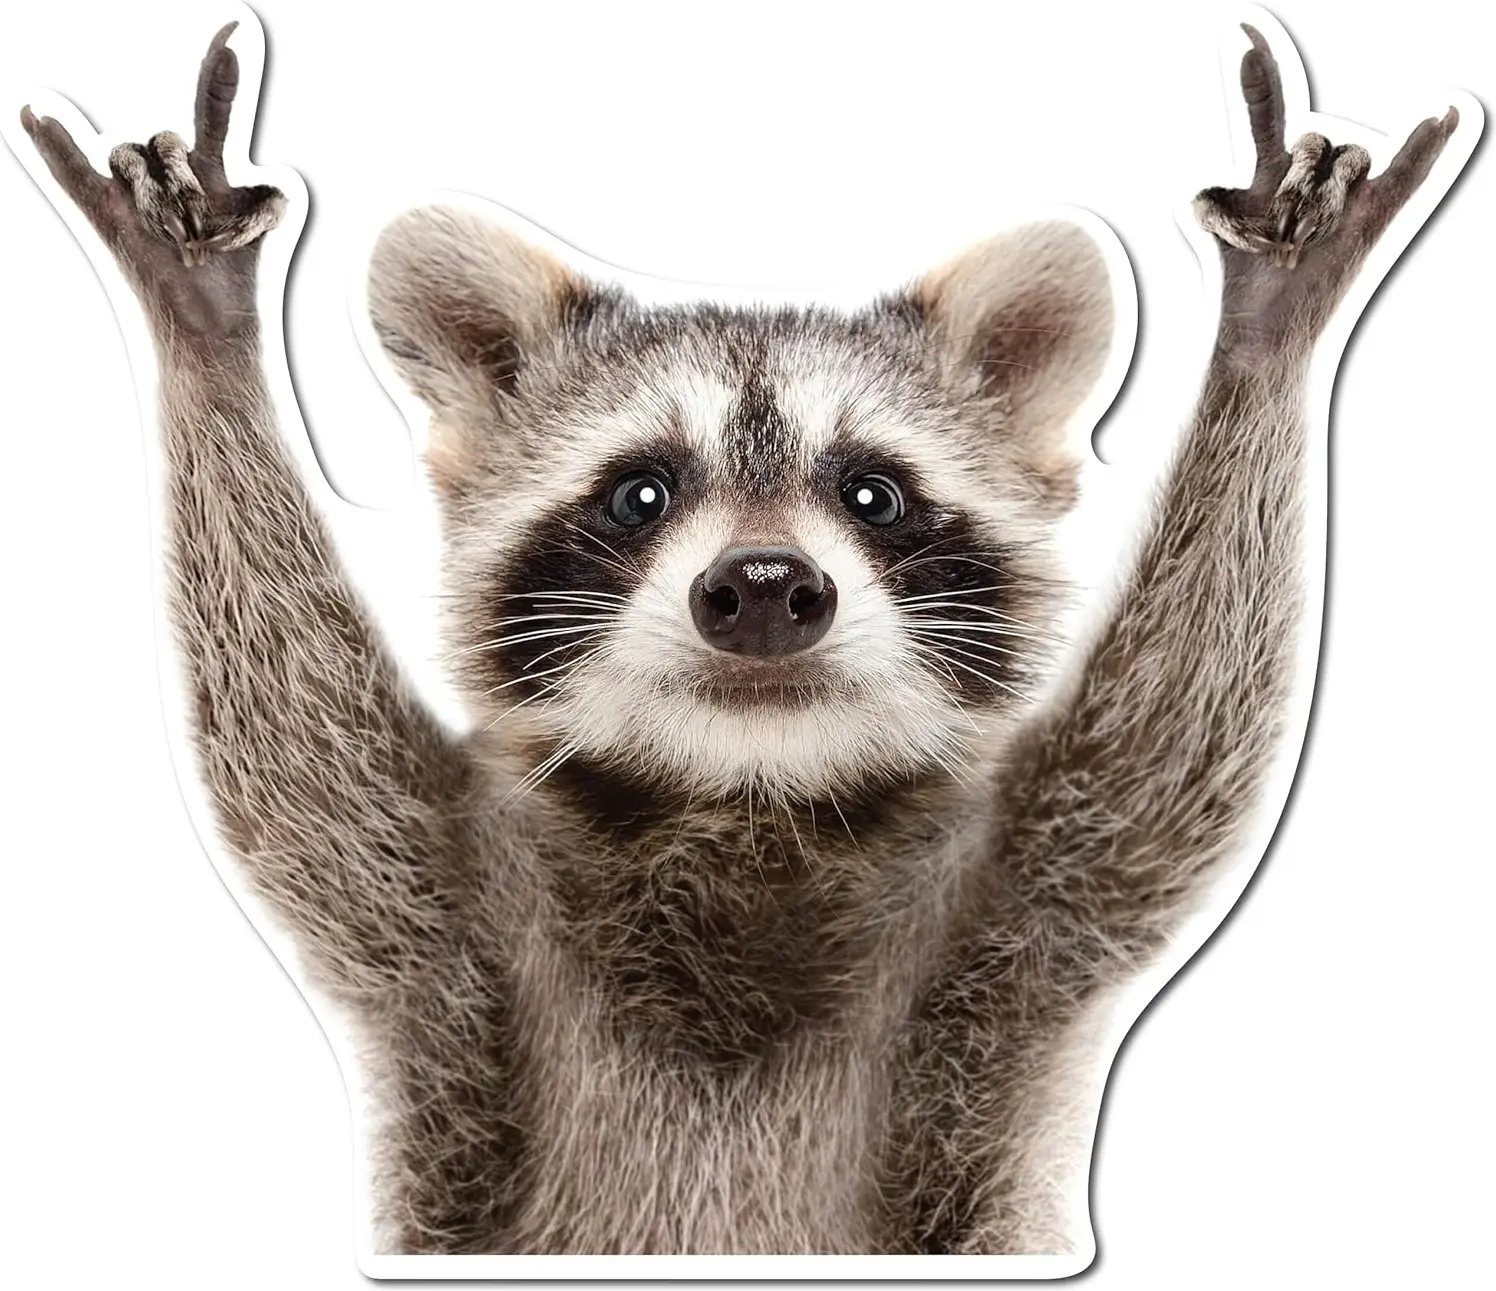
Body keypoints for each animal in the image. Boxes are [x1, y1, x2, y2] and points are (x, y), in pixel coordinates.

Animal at [17, 16, 1465, 1257]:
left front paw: (1265, 338)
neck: (744, 794)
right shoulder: (448, 912)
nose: (765, 585)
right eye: (640, 492)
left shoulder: (1018, 910)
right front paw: (204, 333)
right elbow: (294, 748)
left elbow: (1169, 750)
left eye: (871, 493)